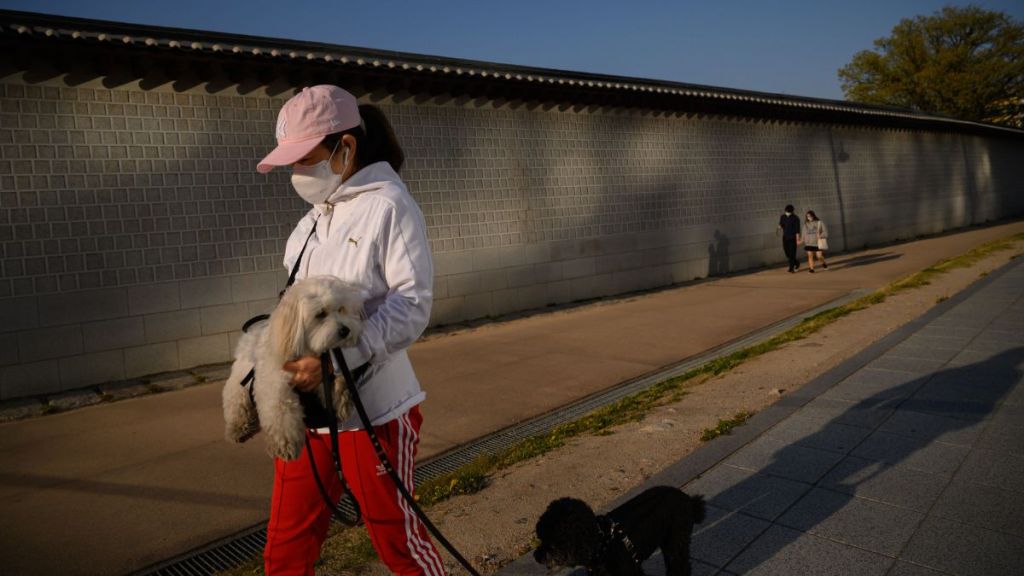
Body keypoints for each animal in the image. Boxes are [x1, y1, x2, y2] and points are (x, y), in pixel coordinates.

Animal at [223, 276, 364, 459]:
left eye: (341, 309)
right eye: (320, 314)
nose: (345, 330)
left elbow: (338, 380)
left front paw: (341, 400)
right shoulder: (274, 386)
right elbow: (280, 413)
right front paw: (285, 445)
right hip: (240, 380)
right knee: (235, 400)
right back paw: (238, 427)